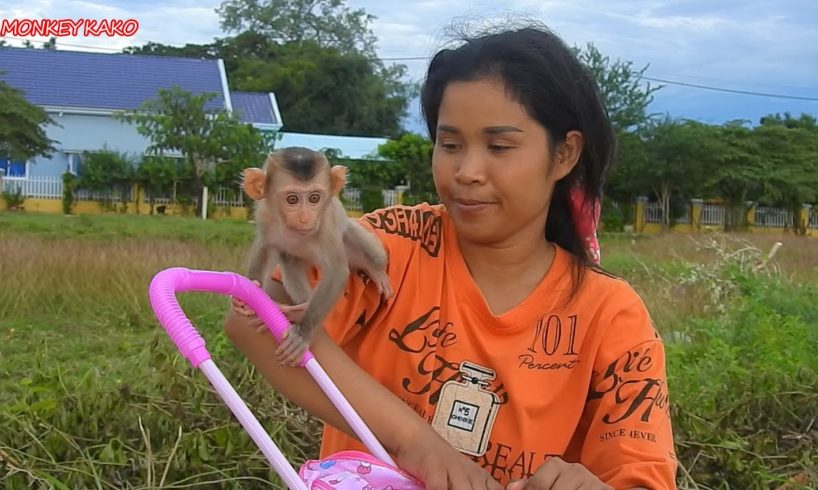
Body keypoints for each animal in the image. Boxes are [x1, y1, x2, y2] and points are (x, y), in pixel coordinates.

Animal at [241, 147, 390, 366]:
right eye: (292, 199)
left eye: (314, 198)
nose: (305, 218)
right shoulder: (264, 214)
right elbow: (265, 247)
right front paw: (246, 297)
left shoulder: (326, 223)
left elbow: (336, 271)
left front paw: (302, 334)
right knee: (289, 262)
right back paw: (299, 306)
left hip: (352, 242)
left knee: (368, 249)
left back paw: (376, 271)